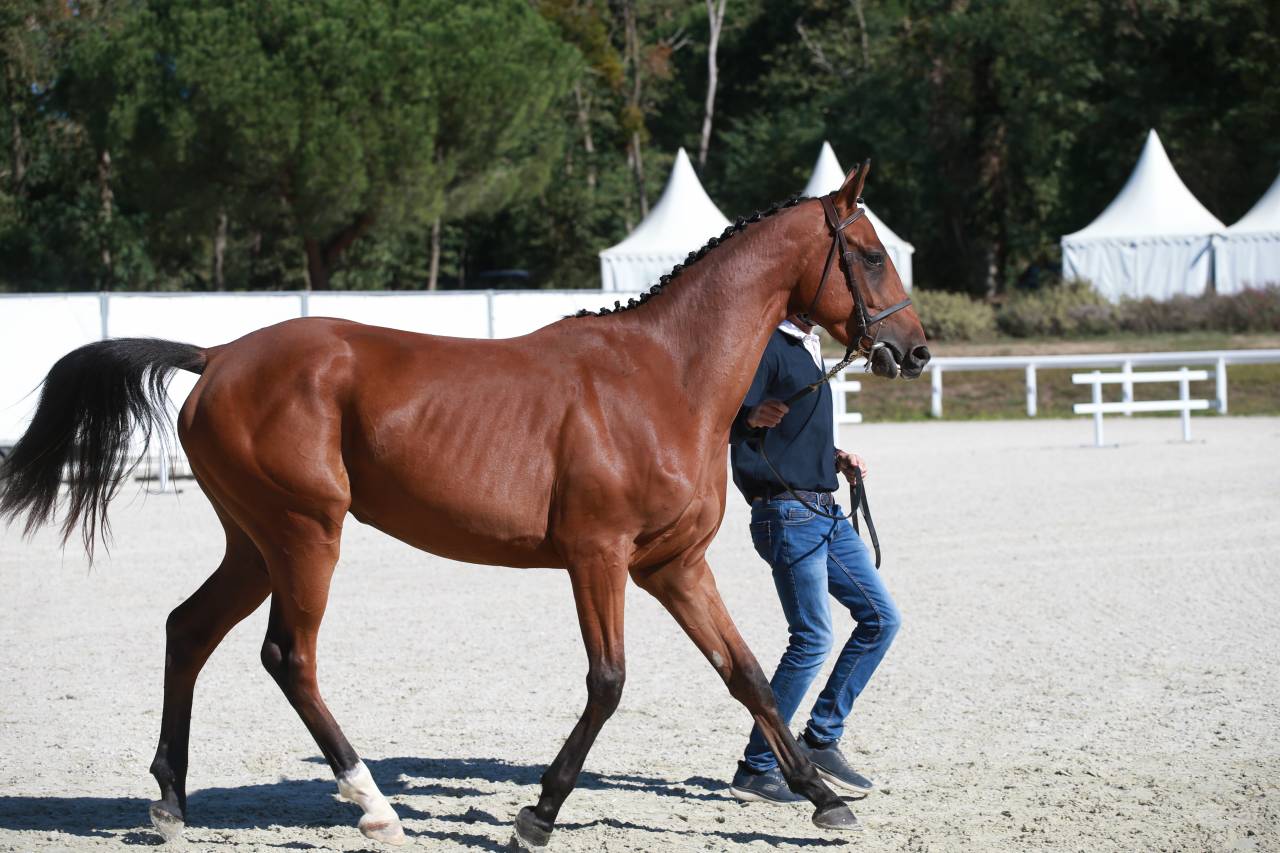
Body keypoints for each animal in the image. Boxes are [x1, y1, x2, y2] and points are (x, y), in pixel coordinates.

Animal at [0, 162, 930, 849]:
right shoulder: (598, 558)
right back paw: (373, 806)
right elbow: (608, 681)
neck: (664, 377)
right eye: (869, 254)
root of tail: (220, 352)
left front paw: (821, 796)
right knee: (287, 656)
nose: (915, 349)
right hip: (305, 536)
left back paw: (170, 802)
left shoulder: (673, 566)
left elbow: (748, 676)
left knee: (188, 629)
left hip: (255, 543)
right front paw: (538, 814)